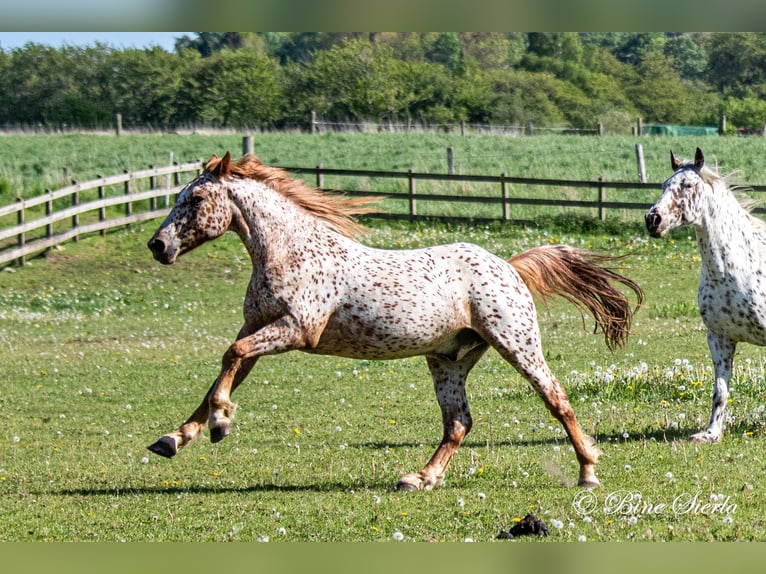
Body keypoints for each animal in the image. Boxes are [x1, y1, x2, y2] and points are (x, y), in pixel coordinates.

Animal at [147, 152, 644, 490]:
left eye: (195, 197)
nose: (157, 245)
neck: (289, 251)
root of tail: (508, 265)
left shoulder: (295, 330)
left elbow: (228, 359)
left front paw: (220, 424)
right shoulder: (257, 329)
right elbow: (224, 369)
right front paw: (176, 437)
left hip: (516, 344)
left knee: (556, 399)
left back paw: (587, 471)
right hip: (448, 359)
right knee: (459, 422)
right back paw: (420, 478)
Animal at [648, 150, 766, 446]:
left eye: (689, 185)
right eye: (664, 185)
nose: (652, 219)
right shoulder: (719, 338)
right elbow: (720, 391)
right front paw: (711, 433)